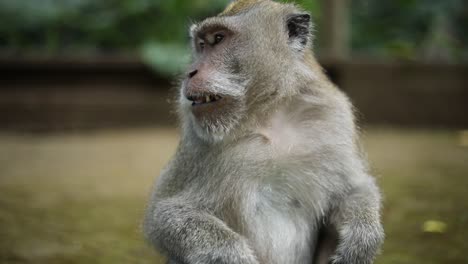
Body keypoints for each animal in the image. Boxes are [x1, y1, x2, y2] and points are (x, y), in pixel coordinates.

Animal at [144, 0, 384, 264]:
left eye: (218, 38)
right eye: (201, 45)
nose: (190, 72)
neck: (269, 115)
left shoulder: (334, 119)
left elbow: (354, 189)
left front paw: (362, 238)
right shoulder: (195, 144)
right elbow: (164, 213)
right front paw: (232, 255)